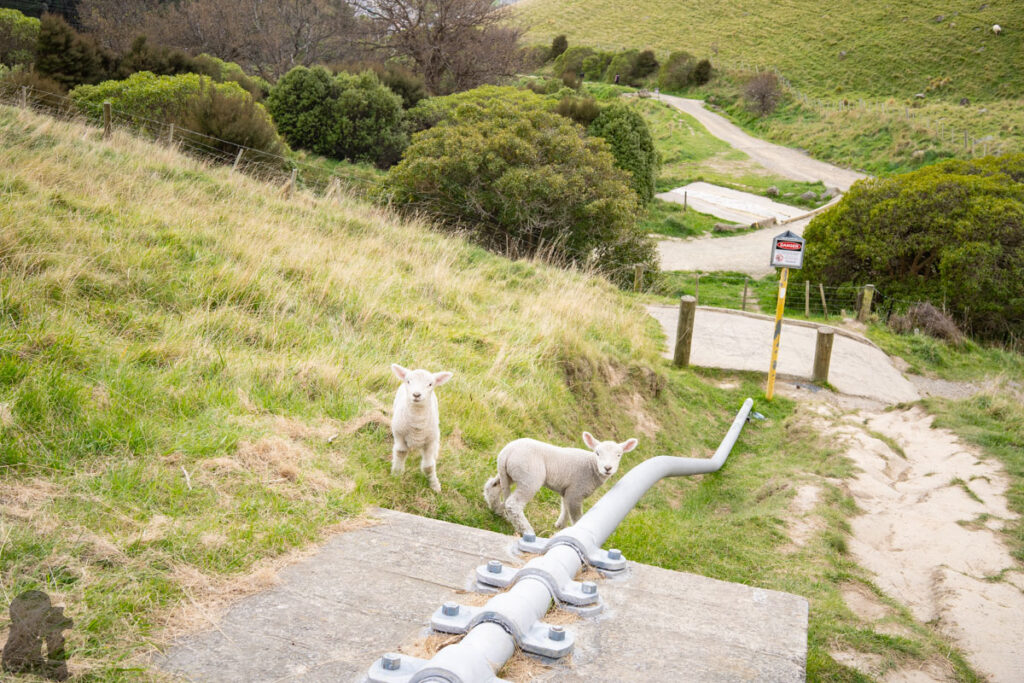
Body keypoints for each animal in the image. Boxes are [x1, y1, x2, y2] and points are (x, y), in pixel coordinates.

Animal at [390, 364, 453, 493]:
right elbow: (400, 452)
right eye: (408, 381)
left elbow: (429, 466)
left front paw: (434, 485)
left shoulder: (430, 441)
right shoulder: (399, 435)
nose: (416, 394)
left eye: (430, 384)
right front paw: (396, 474)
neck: (417, 425)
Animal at [483, 432, 638, 536]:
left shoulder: (568, 490)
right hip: (529, 478)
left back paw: (496, 510)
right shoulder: (576, 491)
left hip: (507, 474)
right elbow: (575, 516)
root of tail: (506, 453)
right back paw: (528, 531)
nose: (607, 468)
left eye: (619, 455)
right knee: (513, 504)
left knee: (492, 486)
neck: (591, 467)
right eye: (597, 453)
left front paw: (560, 526)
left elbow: (565, 508)